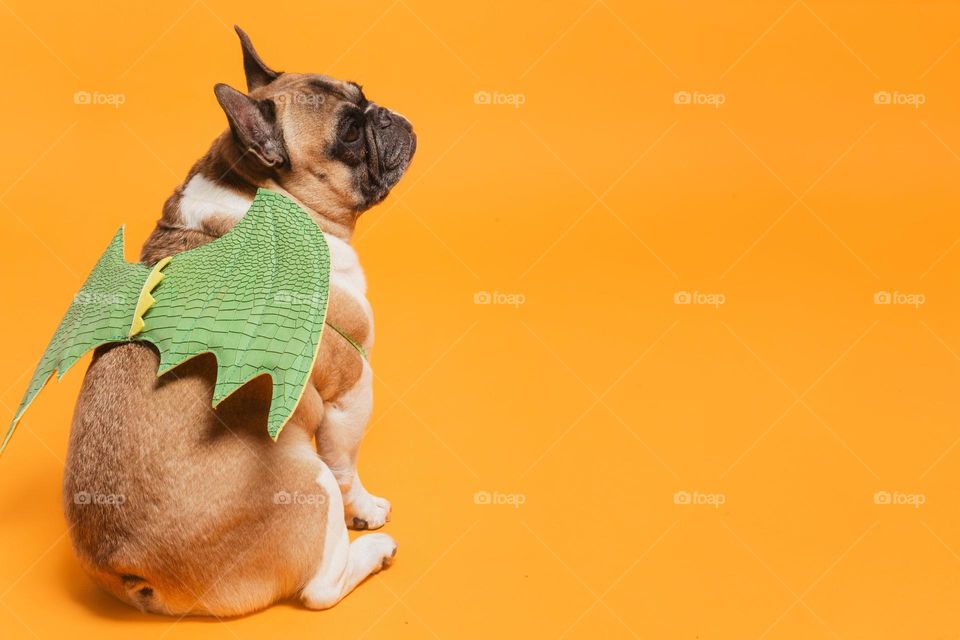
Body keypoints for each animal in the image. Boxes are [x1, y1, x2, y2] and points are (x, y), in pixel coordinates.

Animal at [61, 27, 416, 616]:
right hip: (307, 481)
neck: (259, 195)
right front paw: (366, 511)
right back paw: (374, 552)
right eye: (348, 133)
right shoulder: (351, 387)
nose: (383, 115)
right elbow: (349, 467)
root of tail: (129, 568)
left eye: (362, 95)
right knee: (320, 587)